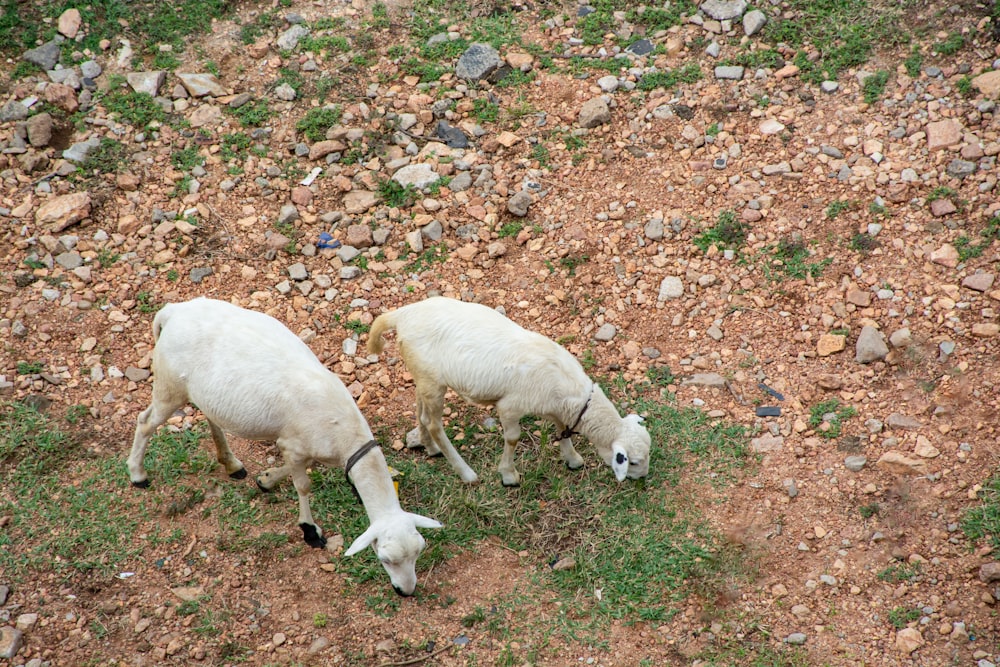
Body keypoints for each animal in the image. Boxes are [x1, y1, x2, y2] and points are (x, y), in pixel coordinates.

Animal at [127, 298, 440, 596]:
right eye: (385, 559)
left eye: (419, 552)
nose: (406, 592)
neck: (346, 434)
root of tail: (172, 312)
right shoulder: (295, 445)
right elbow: (303, 485)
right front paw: (310, 531)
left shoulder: (300, 446)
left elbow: (295, 470)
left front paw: (266, 480)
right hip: (169, 386)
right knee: (144, 422)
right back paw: (138, 474)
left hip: (200, 392)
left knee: (210, 418)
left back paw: (231, 464)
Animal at [372, 298, 652, 486]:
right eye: (633, 462)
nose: (642, 478)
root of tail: (403, 315)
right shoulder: (510, 407)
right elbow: (513, 438)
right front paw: (508, 475)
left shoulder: (551, 406)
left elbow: (562, 429)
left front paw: (572, 459)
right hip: (432, 381)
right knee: (434, 425)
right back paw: (467, 473)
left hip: (425, 376)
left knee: (421, 412)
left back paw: (431, 448)